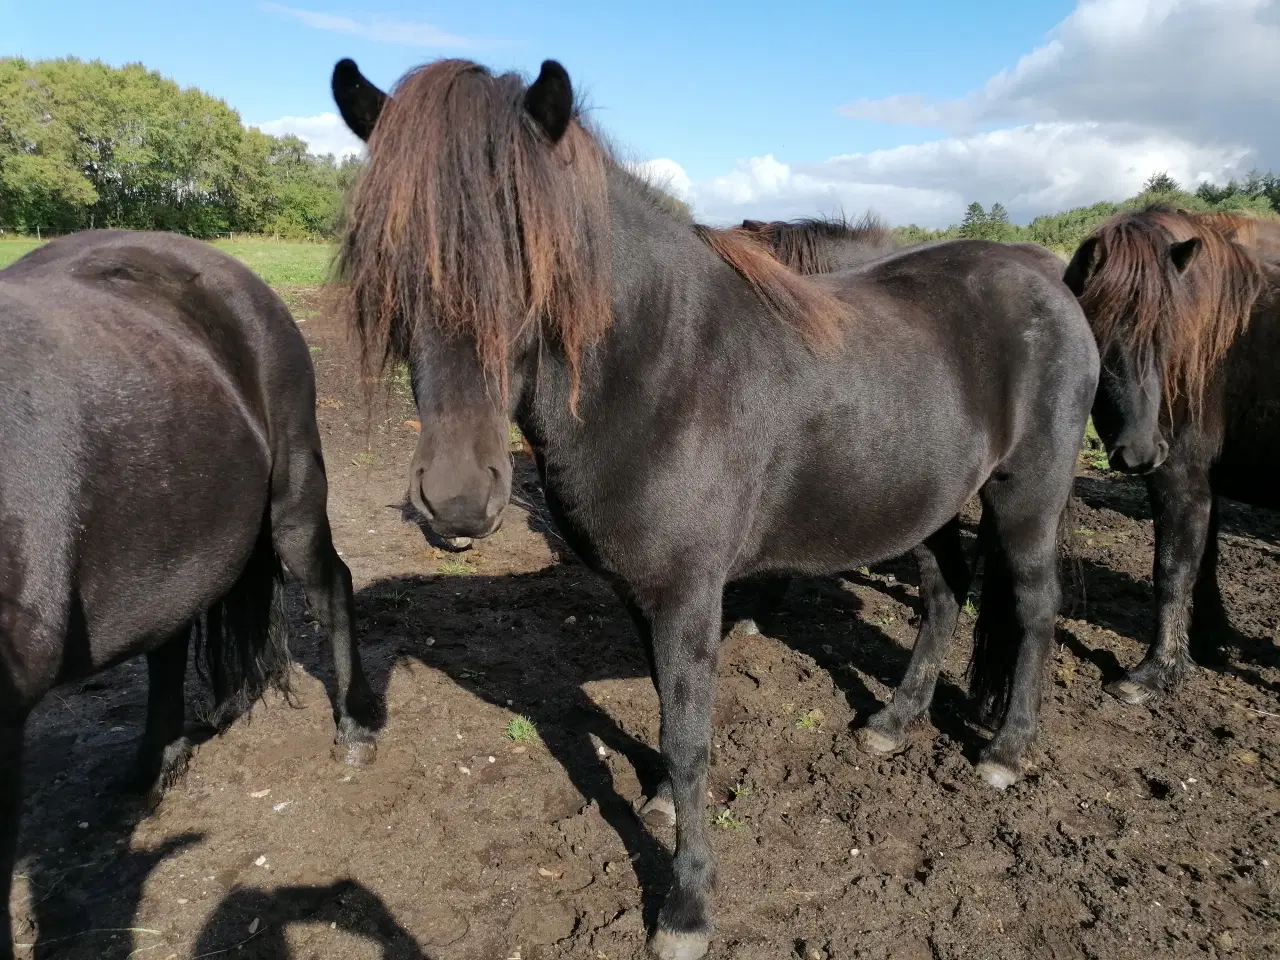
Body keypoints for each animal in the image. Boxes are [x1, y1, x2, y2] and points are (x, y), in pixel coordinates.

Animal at [332, 58, 1100, 960]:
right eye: (388, 262)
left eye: (536, 265)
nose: (455, 500)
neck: (666, 369)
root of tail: (1048, 281)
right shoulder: (644, 594)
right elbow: (668, 712)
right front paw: (663, 800)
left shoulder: (691, 596)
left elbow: (691, 735)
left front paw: (687, 906)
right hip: (930, 501)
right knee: (947, 591)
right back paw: (894, 722)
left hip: (1029, 494)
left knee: (1036, 608)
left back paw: (1007, 751)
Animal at [1059, 207, 1280, 701]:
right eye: (1098, 341)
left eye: (1168, 337)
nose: (1141, 452)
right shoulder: (1201, 481)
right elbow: (1202, 565)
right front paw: (1208, 643)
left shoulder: (1179, 478)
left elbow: (1173, 569)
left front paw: (1156, 672)